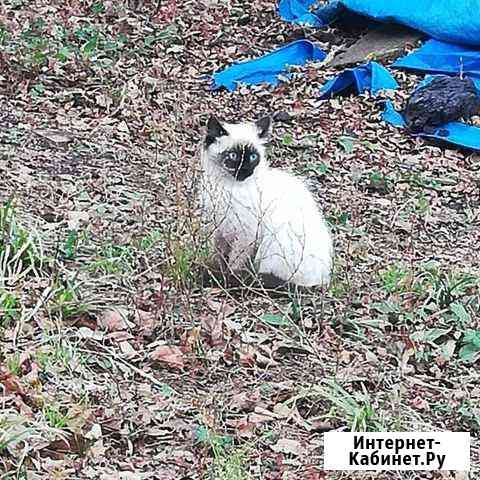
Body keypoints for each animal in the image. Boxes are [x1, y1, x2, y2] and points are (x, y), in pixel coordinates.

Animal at [200, 115, 334, 288]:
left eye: (253, 157)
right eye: (233, 156)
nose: (245, 171)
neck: (228, 189)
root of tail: (319, 282)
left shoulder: (245, 235)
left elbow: (234, 263)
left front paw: (227, 278)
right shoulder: (219, 230)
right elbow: (218, 257)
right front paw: (217, 272)